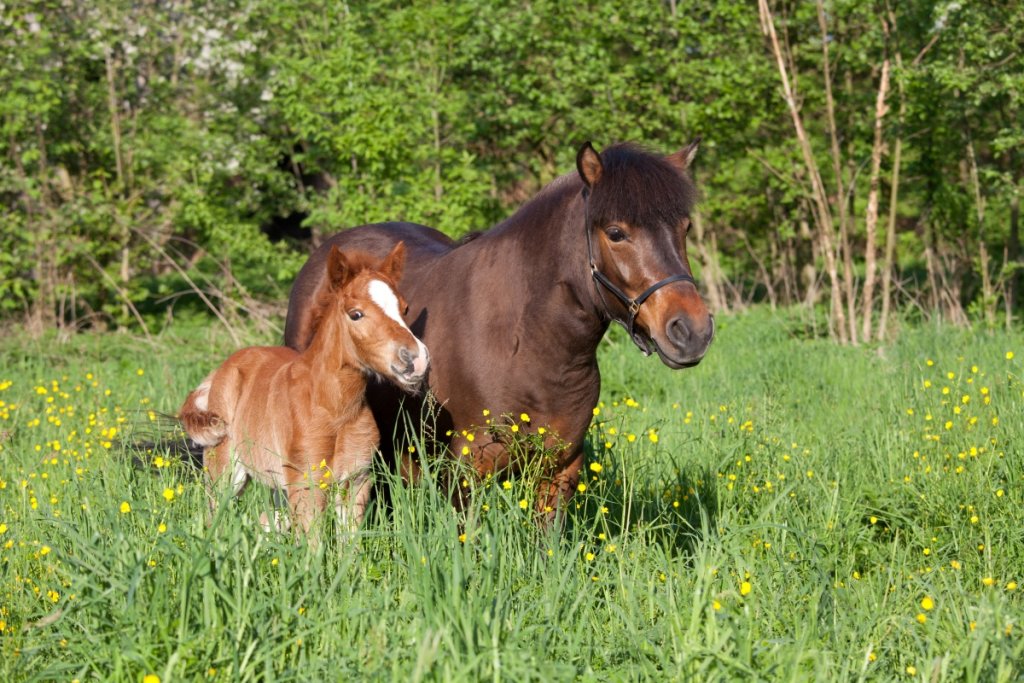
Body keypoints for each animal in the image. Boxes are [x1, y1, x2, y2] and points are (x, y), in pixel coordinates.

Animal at [180, 242, 429, 538]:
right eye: (356, 314)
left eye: (405, 308)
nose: (415, 359)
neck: (335, 408)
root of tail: (221, 370)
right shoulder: (307, 485)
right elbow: (313, 545)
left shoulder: (356, 483)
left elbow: (349, 545)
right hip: (226, 471)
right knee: (213, 519)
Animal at [283, 141, 714, 520]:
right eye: (616, 232)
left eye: (685, 227)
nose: (692, 331)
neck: (527, 344)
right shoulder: (466, 474)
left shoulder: (559, 470)